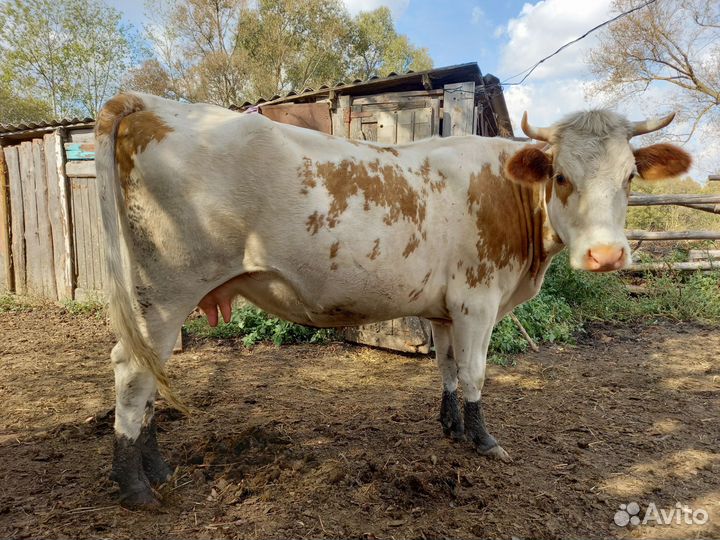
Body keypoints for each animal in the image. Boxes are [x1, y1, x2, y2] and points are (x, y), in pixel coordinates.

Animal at [94, 92, 691, 508]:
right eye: (562, 177)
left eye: (630, 177)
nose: (606, 256)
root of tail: (149, 103)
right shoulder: (478, 301)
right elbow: (475, 373)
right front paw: (483, 440)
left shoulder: (447, 310)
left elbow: (447, 369)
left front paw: (451, 427)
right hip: (165, 291)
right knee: (133, 373)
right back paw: (134, 486)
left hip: (158, 301)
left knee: (151, 376)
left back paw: (158, 469)